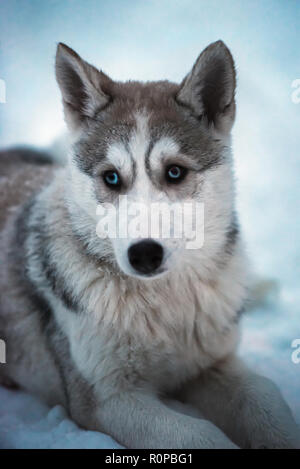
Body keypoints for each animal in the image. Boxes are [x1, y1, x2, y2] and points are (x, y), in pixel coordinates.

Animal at [0, 42, 300, 448]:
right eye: (111, 178)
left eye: (174, 172)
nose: (144, 254)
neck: (164, 306)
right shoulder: (107, 398)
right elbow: (201, 435)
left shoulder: (212, 365)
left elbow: (267, 400)